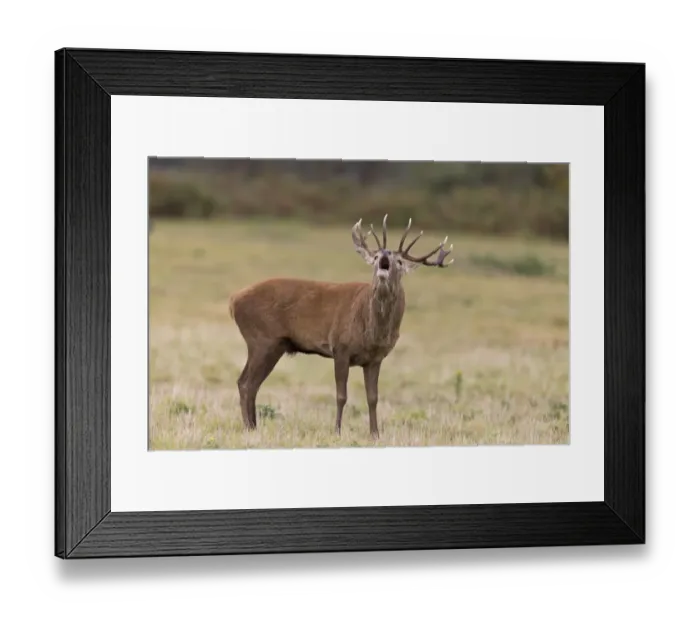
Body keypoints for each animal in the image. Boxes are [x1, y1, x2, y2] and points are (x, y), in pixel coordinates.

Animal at [229, 215, 454, 438]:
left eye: (399, 261)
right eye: (374, 257)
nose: (385, 254)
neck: (372, 332)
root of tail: (234, 300)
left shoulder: (375, 358)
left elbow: (373, 397)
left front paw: (375, 433)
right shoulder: (340, 347)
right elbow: (341, 395)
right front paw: (336, 431)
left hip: (273, 344)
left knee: (250, 383)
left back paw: (253, 426)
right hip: (262, 339)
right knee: (246, 382)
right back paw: (249, 427)